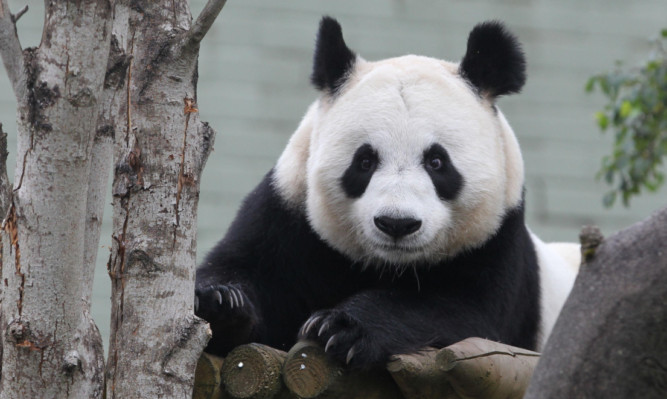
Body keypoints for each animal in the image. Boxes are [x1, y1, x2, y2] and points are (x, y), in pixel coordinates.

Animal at [196, 17, 580, 370]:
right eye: (365, 161)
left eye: (437, 162)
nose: (397, 224)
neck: (390, 266)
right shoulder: (289, 213)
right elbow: (251, 270)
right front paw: (221, 303)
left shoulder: (496, 241)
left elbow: (459, 312)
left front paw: (342, 328)